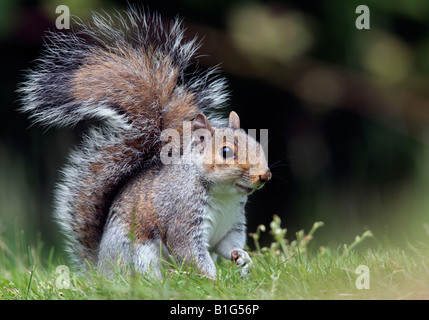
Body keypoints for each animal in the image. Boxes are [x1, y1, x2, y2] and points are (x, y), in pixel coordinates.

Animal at [19, 7, 270, 280]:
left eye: (257, 143)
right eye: (225, 152)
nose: (264, 175)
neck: (224, 196)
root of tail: (102, 270)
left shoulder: (231, 226)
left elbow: (228, 246)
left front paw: (243, 259)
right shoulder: (182, 216)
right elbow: (191, 254)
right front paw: (213, 282)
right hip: (139, 255)